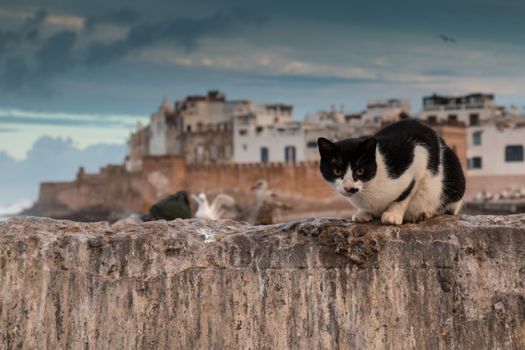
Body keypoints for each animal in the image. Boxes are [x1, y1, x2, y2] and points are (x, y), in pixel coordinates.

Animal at [318, 119, 464, 224]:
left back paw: (426, 213)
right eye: (337, 172)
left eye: (360, 171)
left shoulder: (418, 154)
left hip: (454, 178)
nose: (349, 188)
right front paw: (363, 212)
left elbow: (404, 195)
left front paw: (393, 215)